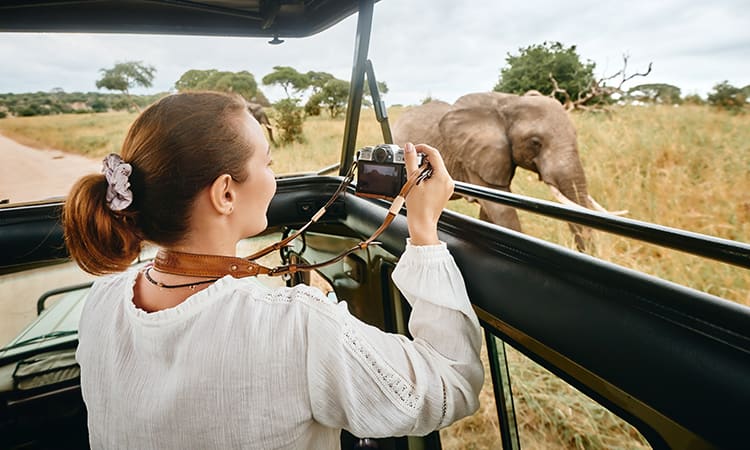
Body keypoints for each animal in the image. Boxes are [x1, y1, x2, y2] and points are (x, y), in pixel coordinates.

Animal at [390, 91, 620, 250]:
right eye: (535, 142)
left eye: (575, 134)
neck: (510, 102)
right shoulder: (475, 157)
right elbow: (500, 209)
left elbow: (491, 211)